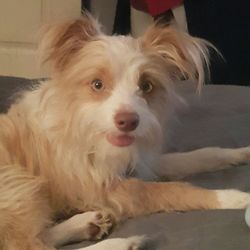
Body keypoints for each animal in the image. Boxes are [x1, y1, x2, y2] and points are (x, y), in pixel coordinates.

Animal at [0, 14, 250, 250]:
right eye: (97, 84)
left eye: (146, 86)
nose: (128, 122)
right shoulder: (109, 191)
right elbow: (171, 190)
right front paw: (233, 197)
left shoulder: (140, 164)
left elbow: (200, 155)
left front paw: (242, 153)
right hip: (18, 186)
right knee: (27, 244)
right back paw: (121, 243)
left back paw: (86, 224)